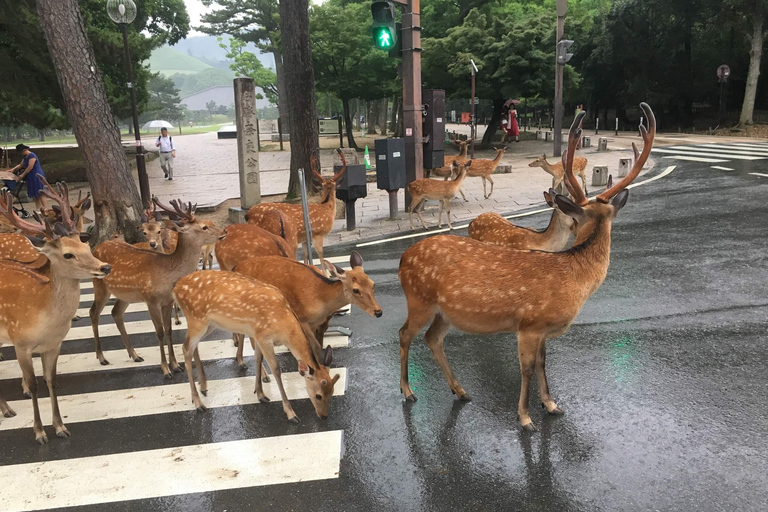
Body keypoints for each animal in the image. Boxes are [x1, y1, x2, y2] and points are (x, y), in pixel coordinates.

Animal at [0, 185, 111, 444]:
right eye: (68, 254)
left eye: (86, 247)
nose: (105, 267)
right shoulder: (21, 343)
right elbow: (34, 386)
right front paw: (40, 433)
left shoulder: (53, 345)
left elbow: (50, 380)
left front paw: (60, 427)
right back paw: (8, 410)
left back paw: (7, 409)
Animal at [89, 196, 224, 376]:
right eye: (204, 226)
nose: (224, 231)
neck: (168, 272)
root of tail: (97, 247)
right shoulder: (150, 299)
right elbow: (159, 332)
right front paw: (166, 369)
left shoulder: (167, 301)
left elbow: (168, 329)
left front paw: (176, 365)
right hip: (99, 285)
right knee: (93, 313)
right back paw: (101, 357)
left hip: (125, 295)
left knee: (116, 313)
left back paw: (135, 355)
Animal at [176, 270, 344, 422]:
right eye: (318, 395)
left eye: (332, 392)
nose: (324, 416)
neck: (284, 324)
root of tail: (176, 287)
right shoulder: (264, 337)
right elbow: (276, 369)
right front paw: (291, 413)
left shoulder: (257, 335)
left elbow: (257, 359)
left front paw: (260, 394)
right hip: (196, 319)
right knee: (185, 348)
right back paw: (198, 403)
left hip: (210, 324)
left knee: (193, 347)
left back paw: (203, 386)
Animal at [231, 251, 380, 368]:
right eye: (356, 290)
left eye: (372, 284)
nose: (378, 312)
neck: (320, 298)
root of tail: (234, 267)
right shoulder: (301, 318)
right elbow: (315, 346)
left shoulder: (316, 323)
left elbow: (318, 345)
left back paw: (240, 361)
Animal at [396, 103, 656, 432]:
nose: (573, 228)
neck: (573, 279)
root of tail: (403, 259)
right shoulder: (529, 324)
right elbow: (527, 369)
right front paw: (525, 417)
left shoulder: (543, 330)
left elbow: (543, 364)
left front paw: (552, 405)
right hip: (419, 298)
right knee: (405, 334)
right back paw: (408, 391)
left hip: (445, 311)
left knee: (432, 339)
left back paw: (461, 390)